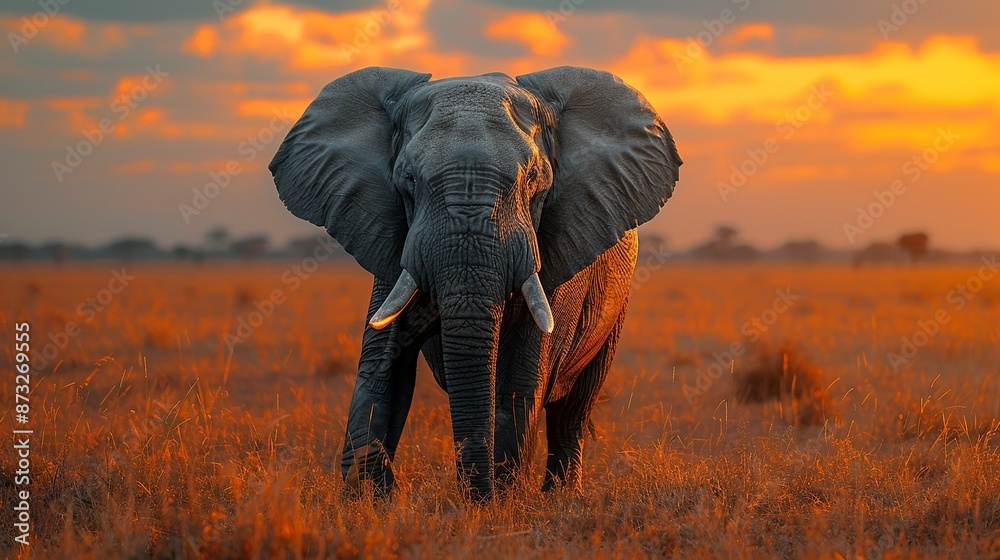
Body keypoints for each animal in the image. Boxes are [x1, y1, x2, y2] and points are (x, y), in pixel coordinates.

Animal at [269, 66, 681, 501]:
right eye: (408, 181)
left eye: (533, 181)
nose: (475, 494)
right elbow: (384, 366)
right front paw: (368, 500)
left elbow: (520, 378)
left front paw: (497, 503)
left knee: (574, 406)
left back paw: (560, 497)